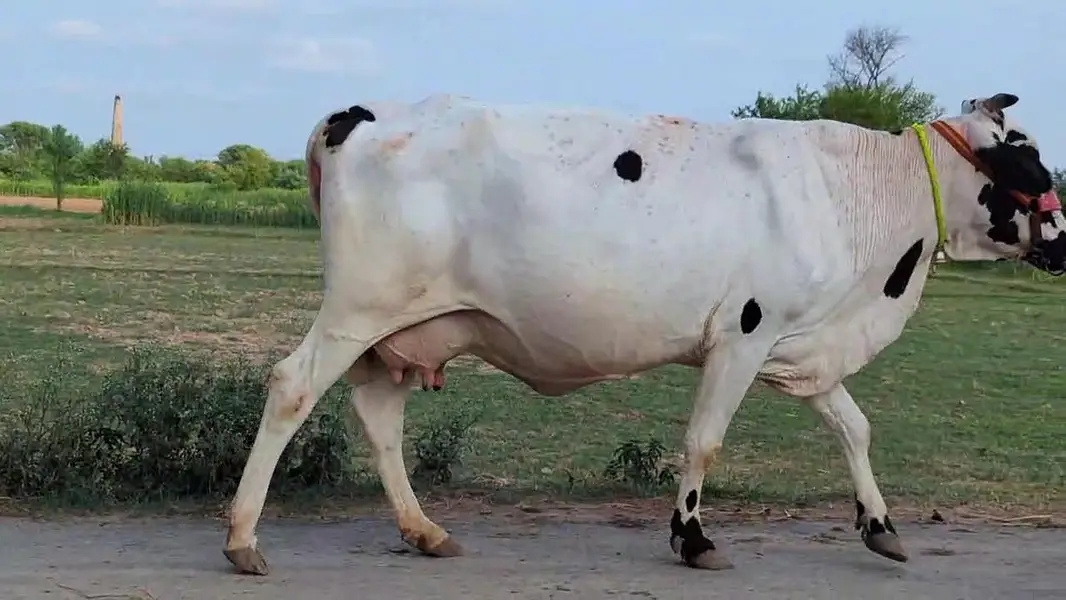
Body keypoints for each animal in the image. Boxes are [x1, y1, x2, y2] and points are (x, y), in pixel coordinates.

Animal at [223, 92, 1064, 575]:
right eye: (1026, 155)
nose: (1062, 237)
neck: (863, 189)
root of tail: (357, 115)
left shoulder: (801, 345)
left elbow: (853, 427)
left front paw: (879, 525)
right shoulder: (744, 333)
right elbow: (704, 442)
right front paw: (691, 537)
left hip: (403, 331)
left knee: (379, 417)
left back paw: (423, 530)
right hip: (358, 308)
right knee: (292, 388)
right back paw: (243, 540)